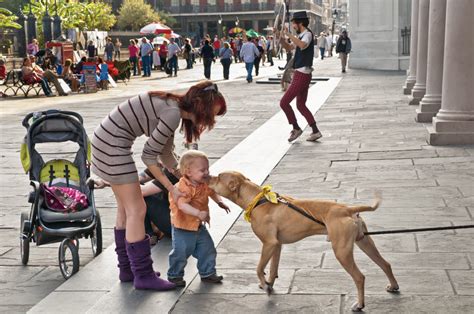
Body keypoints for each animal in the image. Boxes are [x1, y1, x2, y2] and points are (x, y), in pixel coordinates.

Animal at [209, 172, 398, 312]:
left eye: (218, 177)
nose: (208, 176)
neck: (258, 200)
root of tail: (348, 209)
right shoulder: (276, 245)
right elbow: (272, 268)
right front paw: (269, 284)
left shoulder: (269, 244)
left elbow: (258, 268)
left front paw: (265, 285)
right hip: (364, 242)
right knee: (385, 264)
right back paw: (394, 286)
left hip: (342, 251)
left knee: (359, 277)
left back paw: (359, 305)